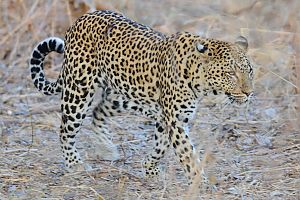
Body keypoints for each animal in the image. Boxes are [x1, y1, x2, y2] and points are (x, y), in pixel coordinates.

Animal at [29, 10, 253, 184]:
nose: (249, 92)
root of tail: (81, 19)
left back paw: (106, 148)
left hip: (124, 95)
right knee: (66, 129)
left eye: (249, 71)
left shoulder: (170, 118)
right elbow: (188, 154)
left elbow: (161, 146)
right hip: (78, 91)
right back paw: (74, 163)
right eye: (231, 74)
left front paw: (150, 168)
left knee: (99, 110)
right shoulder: (175, 120)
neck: (199, 81)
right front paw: (201, 183)